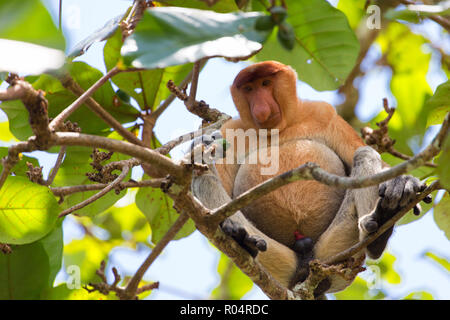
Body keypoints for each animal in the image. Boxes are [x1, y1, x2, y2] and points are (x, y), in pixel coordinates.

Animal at [192, 60, 428, 298]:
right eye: (249, 89)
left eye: (265, 83)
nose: (261, 108)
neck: (279, 129)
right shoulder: (230, 130)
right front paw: (202, 147)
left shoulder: (324, 113)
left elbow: (366, 158)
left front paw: (403, 183)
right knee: (204, 177)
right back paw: (242, 241)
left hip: (338, 250)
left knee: (364, 153)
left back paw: (381, 226)